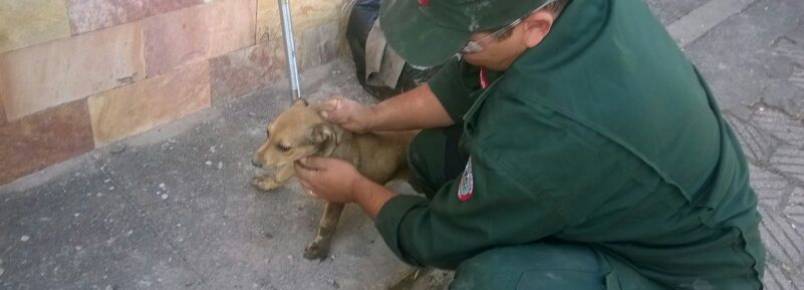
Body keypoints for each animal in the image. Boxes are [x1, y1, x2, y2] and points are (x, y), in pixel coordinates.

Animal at [251, 98, 414, 260]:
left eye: (284, 148)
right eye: (267, 132)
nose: (253, 162)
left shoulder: (336, 196)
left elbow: (327, 223)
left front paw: (319, 247)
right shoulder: (300, 160)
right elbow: (281, 175)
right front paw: (267, 182)